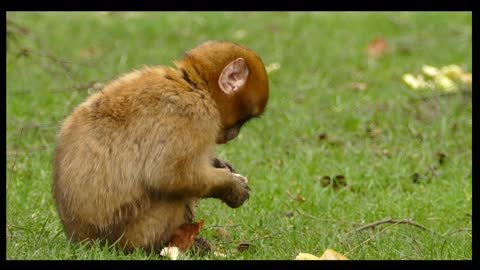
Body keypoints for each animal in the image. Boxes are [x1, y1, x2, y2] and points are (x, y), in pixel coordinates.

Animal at [53, 40, 270, 253]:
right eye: (243, 120)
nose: (235, 134)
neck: (194, 87)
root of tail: (80, 238)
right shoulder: (191, 115)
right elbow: (167, 175)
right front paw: (230, 186)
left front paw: (219, 164)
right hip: (131, 233)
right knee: (172, 194)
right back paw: (166, 245)